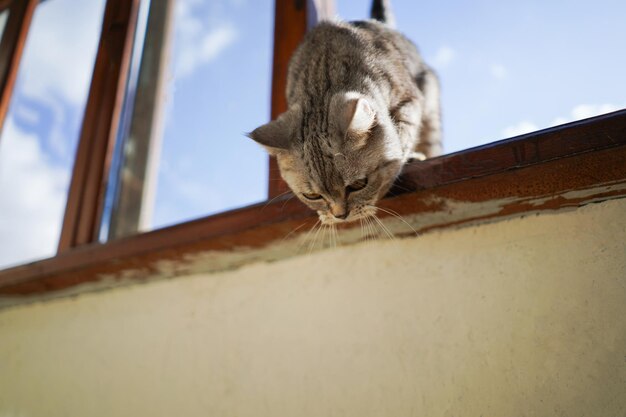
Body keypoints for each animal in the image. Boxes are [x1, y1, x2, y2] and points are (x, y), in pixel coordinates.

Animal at [246, 0, 442, 224]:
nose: (340, 216)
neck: (322, 77)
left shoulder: (409, 97)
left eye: (358, 185)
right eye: (312, 196)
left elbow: (404, 133)